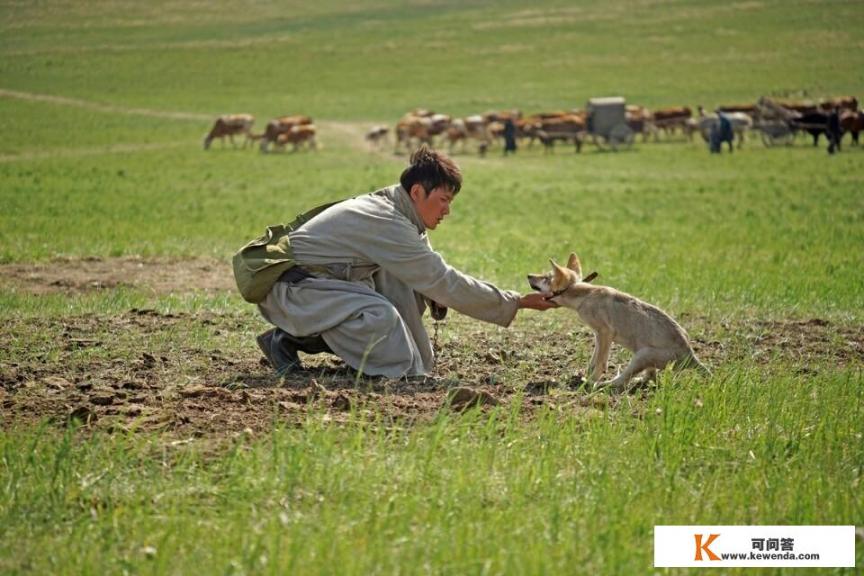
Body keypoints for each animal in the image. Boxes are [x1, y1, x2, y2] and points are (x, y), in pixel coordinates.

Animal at [528, 252, 708, 392]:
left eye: (546, 277)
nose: (528, 275)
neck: (583, 294)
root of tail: (691, 355)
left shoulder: (605, 333)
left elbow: (600, 362)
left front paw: (591, 381)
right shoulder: (598, 336)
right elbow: (594, 360)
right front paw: (584, 376)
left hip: (641, 355)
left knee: (621, 381)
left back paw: (602, 385)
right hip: (641, 354)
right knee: (650, 378)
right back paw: (637, 381)